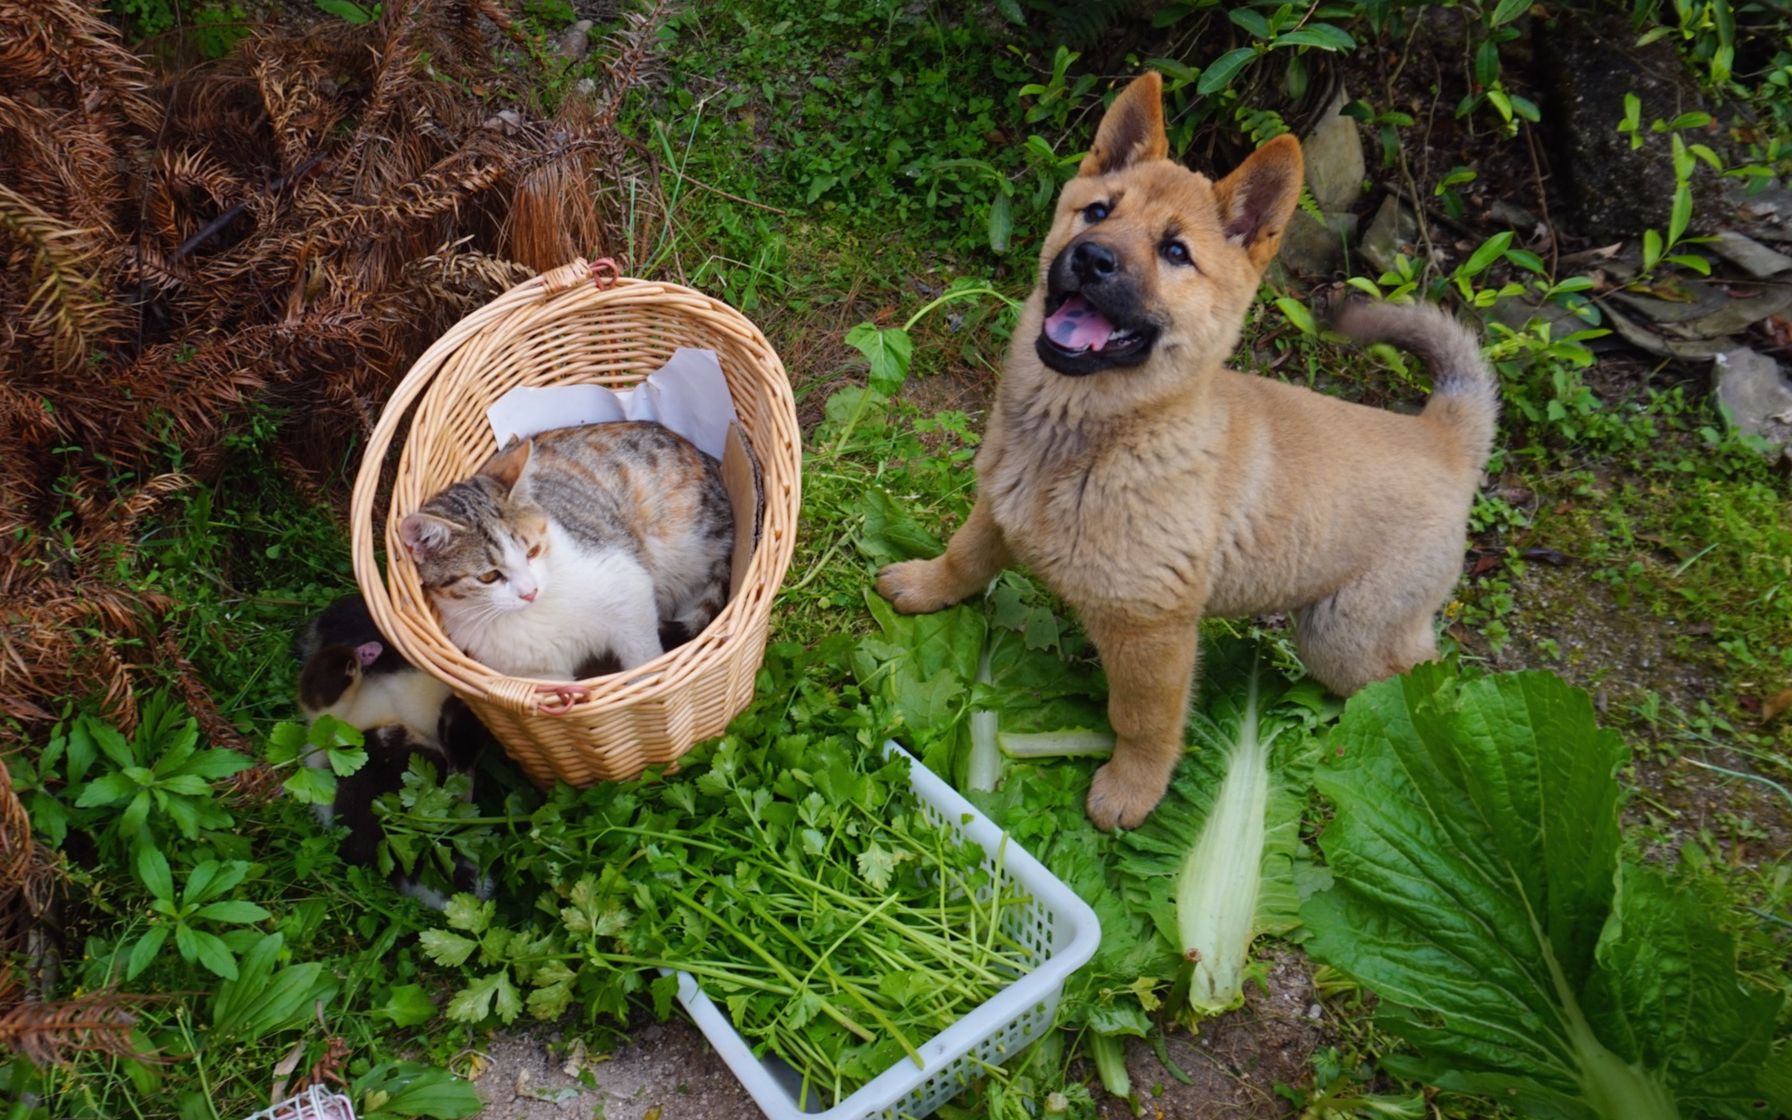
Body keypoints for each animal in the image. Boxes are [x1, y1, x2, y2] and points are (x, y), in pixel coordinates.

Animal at [401, 421, 734, 677]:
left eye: (533, 551)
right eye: (487, 577)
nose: (529, 592)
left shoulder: (626, 584)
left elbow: (642, 655)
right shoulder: (534, 674)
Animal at [874, 69, 1490, 824]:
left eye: (1175, 252)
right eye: (1097, 211)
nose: (1091, 258)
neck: (1091, 439)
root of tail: (1444, 433)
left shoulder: (1151, 633)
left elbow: (1143, 720)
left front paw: (1131, 790)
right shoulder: (999, 509)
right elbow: (965, 558)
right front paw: (923, 583)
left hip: (1343, 636)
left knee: (1422, 675)